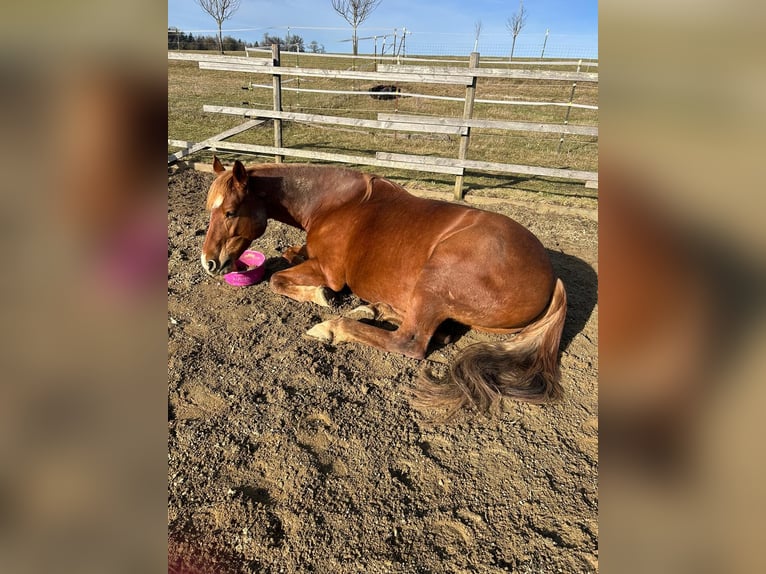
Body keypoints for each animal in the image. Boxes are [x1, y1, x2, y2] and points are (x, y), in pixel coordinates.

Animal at [201, 158, 568, 416]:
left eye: (230, 211)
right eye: (209, 209)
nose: (208, 263)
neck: (333, 204)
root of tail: (553, 279)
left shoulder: (328, 271)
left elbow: (279, 279)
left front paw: (321, 296)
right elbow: (291, 253)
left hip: (435, 280)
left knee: (410, 341)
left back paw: (334, 327)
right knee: (437, 331)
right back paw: (373, 308)